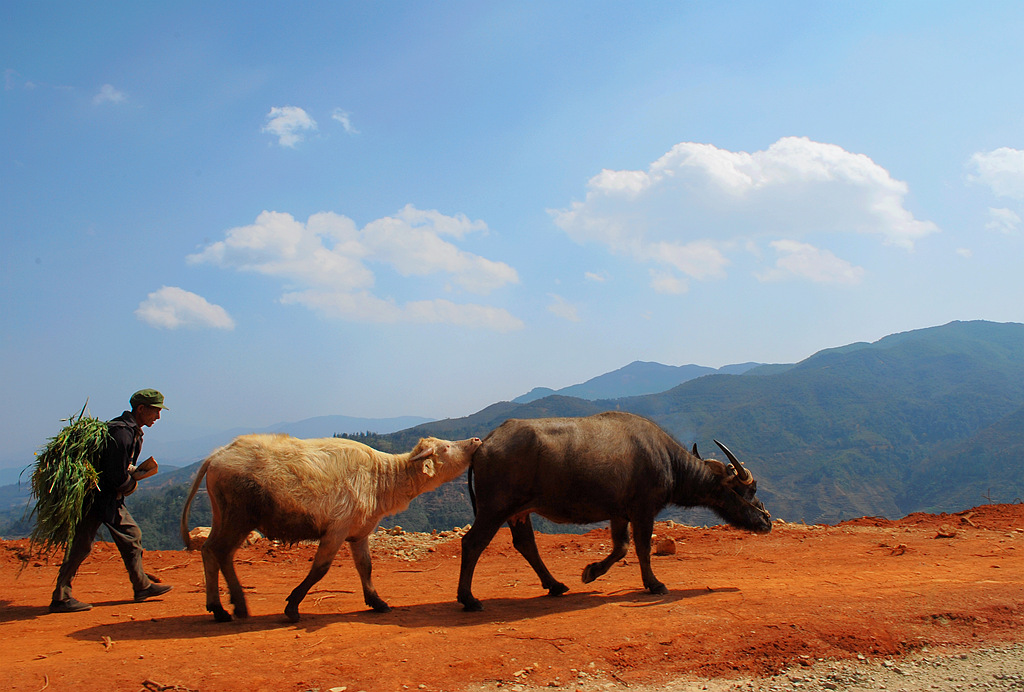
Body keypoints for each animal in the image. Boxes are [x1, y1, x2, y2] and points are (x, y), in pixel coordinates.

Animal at [460, 411, 770, 610]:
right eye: (750, 490)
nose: (766, 521)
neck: (667, 460)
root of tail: (485, 443)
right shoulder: (644, 510)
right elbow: (642, 547)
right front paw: (654, 584)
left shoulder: (619, 513)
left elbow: (621, 547)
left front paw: (591, 572)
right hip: (494, 509)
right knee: (472, 542)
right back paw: (469, 599)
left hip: (519, 513)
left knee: (526, 544)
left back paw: (556, 585)